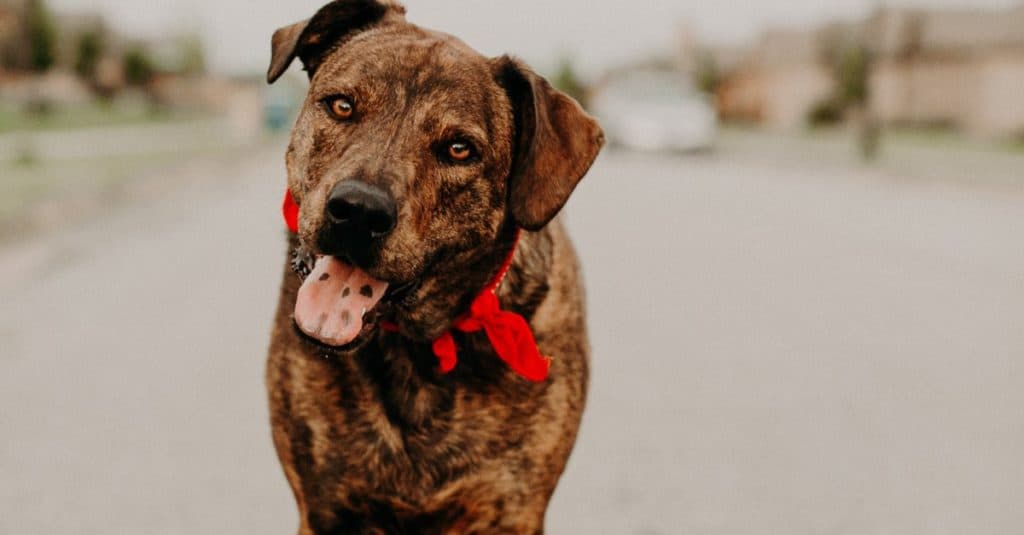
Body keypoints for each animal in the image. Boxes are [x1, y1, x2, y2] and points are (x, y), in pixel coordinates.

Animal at [260, 2, 602, 528]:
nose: (358, 211)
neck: (418, 349)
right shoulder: (324, 506)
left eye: (459, 149)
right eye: (341, 106)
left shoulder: (512, 509)